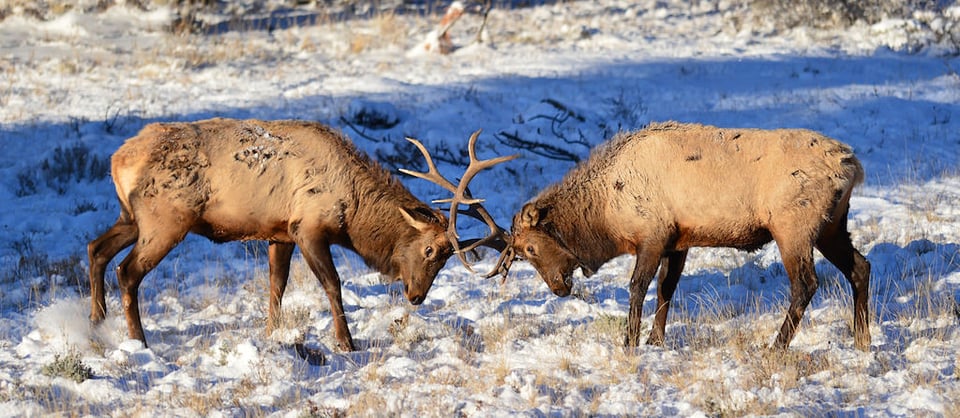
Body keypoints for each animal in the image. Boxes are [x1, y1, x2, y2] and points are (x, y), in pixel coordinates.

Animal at [86, 118, 512, 356]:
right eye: (430, 249)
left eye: (445, 258)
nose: (416, 296)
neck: (353, 212)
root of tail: (117, 159)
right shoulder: (308, 227)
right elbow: (333, 284)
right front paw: (346, 343)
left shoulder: (280, 233)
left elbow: (276, 285)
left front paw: (272, 333)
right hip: (165, 220)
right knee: (127, 271)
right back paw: (138, 342)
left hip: (132, 217)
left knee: (96, 248)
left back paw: (96, 323)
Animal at [498, 121, 872, 352]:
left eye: (530, 247)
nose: (557, 288)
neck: (607, 213)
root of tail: (852, 165)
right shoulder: (678, 241)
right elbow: (667, 287)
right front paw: (655, 340)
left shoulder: (652, 234)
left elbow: (638, 287)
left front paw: (629, 342)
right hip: (831, 226)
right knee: (860, 267)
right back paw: (862, 340)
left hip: (793, 226)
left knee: (806, 284)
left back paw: (776, 346)